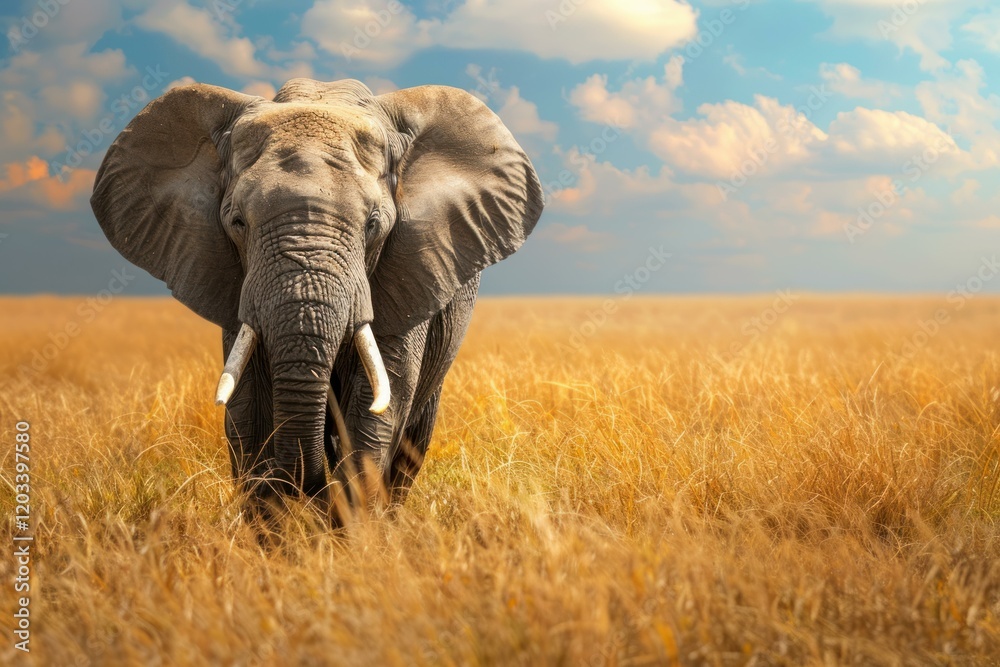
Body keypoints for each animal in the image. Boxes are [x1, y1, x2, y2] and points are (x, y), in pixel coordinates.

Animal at [90, 78, 543, 523]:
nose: (314, 492)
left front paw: (353, 535)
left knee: (412, 439)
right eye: (238, 223)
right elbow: (249, 413)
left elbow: (377, 410)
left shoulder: (410, 270)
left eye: (373, 225)